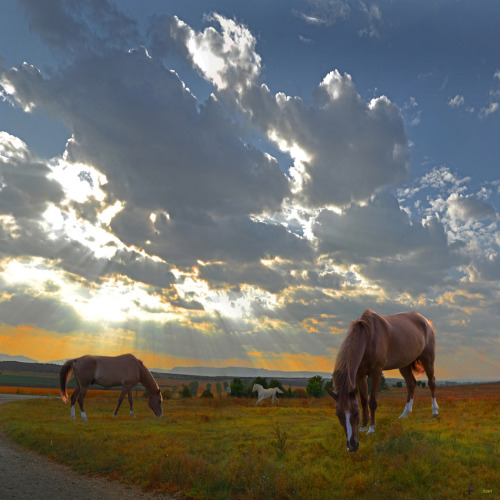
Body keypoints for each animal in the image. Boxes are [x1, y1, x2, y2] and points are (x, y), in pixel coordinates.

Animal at [324, 308, 438, 454]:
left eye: (355, 413)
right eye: (338, 415)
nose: (352, 446)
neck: (368, 337)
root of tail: (426, 321)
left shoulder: (376, 373)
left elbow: (372, 402)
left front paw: (371, 429)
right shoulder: (360, 375)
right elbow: (363, 400)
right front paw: (363, 426)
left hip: (427, 358)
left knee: (431, 382)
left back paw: (434, 411)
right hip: (404, 364)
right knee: (411, 384)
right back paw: (405, 413)